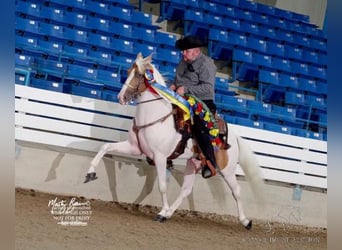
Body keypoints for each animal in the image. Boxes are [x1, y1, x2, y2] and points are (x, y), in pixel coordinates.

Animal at [84, 53, 264, 229]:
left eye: (139, 75)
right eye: (128, 72)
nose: (121, 97)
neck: (154, 117)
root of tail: (233, 135)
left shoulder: (160, 157)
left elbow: (162, 185)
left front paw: (161, 211)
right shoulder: (134, 147)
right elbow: (105, 146)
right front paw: (90, 173)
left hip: (227, 169)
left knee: (237, 191)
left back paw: (246, 221)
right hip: (193, 163)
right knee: (186, 190)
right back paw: (169, 213)